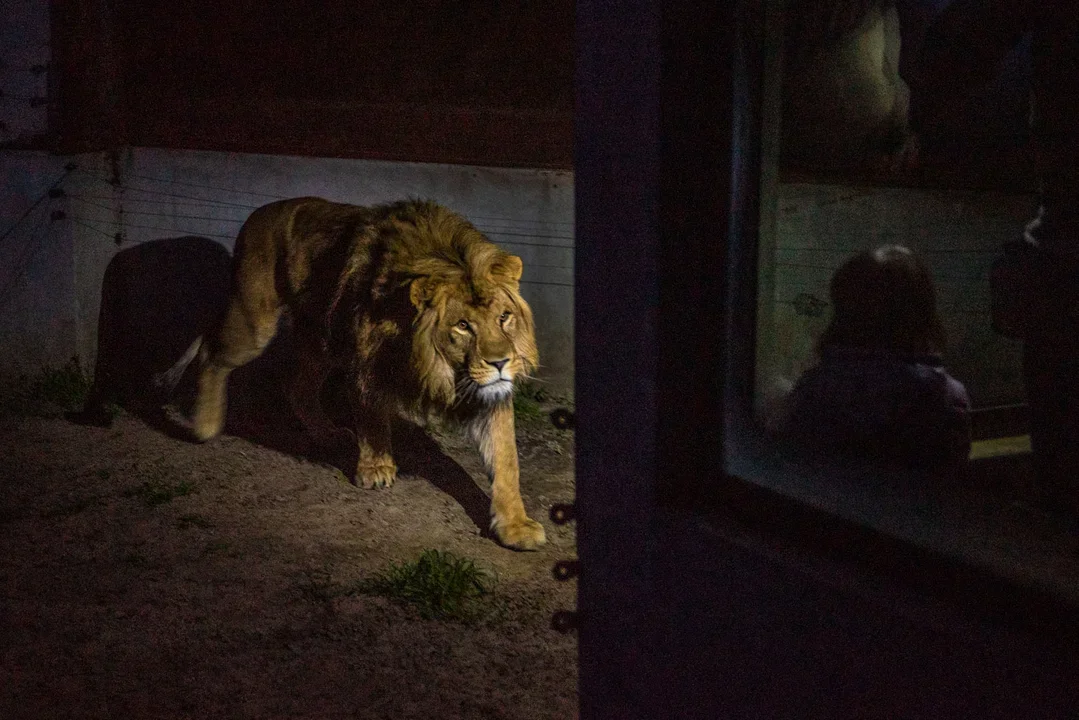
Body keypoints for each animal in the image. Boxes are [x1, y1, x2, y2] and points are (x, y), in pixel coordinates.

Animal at [157, 197, 548, 552]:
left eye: (504, 317)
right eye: (463, 326)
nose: (501, 362)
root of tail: (258, 213)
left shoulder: (491, 392)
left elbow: (506, 459)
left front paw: (515, 526)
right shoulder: (367, 359)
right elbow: (372, 419)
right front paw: (376, 469)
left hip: (319, 339)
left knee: (297, 386)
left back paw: (328, 433)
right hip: (255, 321)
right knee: (210, 353)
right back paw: (204, 427)